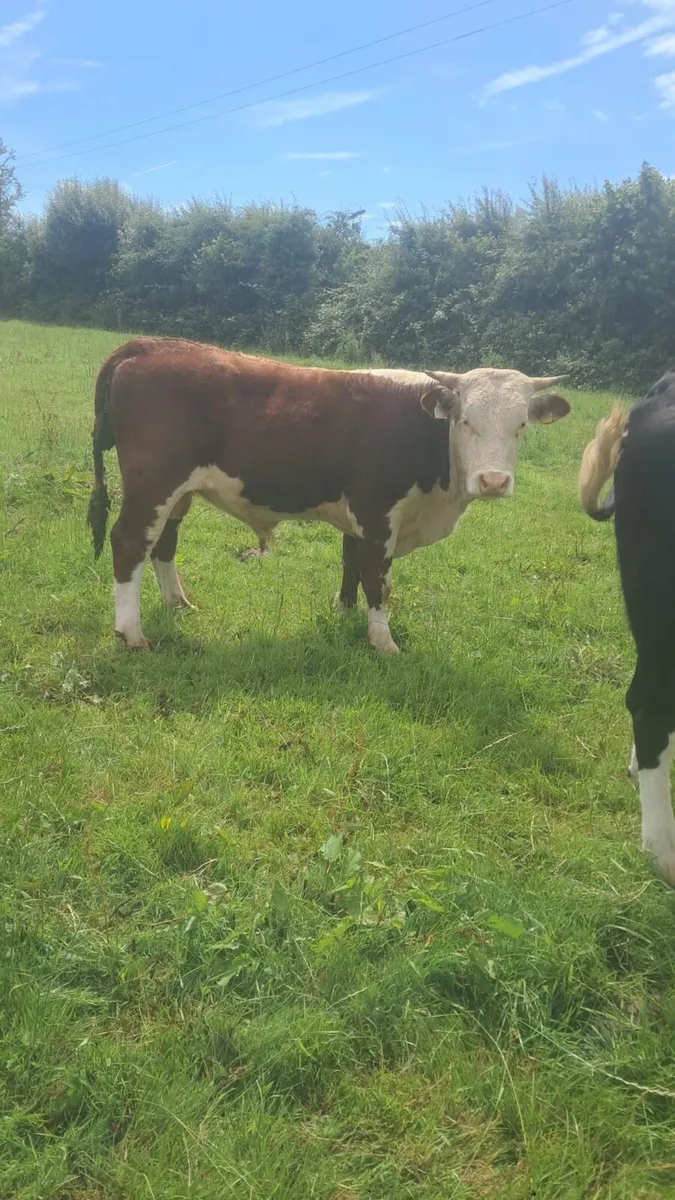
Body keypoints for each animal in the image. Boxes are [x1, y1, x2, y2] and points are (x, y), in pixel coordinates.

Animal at [86, 338, 570, 654]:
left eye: (521, 426)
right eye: (466, 421)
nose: (493, 481)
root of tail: (148, 344)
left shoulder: (358, 517)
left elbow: (351, 565)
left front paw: (346, 613)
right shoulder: (377, 513)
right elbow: (377, 578)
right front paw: (382, 640)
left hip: (177, 493)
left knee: (163, 544)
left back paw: (179, 603)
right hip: (154, 484)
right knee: (130, 543)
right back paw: (131, 633)